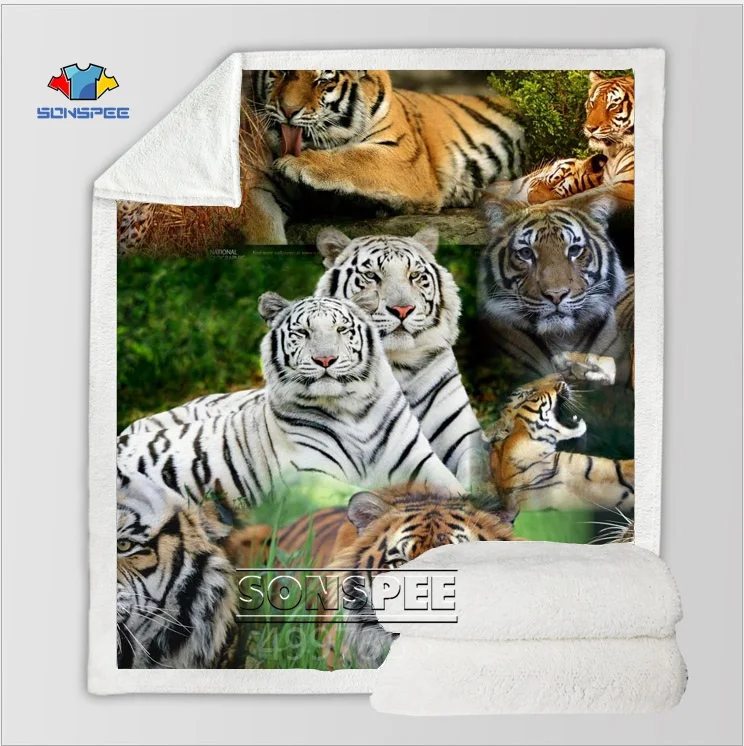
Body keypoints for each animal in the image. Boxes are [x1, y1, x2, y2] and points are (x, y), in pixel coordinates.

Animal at [118, 294, 465, 506]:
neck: (351, 409)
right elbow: (362, 494)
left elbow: (457, 491)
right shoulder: (309, 478)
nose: (325, 359)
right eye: (302, 333)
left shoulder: (421, 462)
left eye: (342, 329)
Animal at [246, 69, 526, 237]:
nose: (287, 110)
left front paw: (296, 163)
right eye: (282, 72)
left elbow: (356, 158)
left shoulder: (405, 158)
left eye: (323, 80)